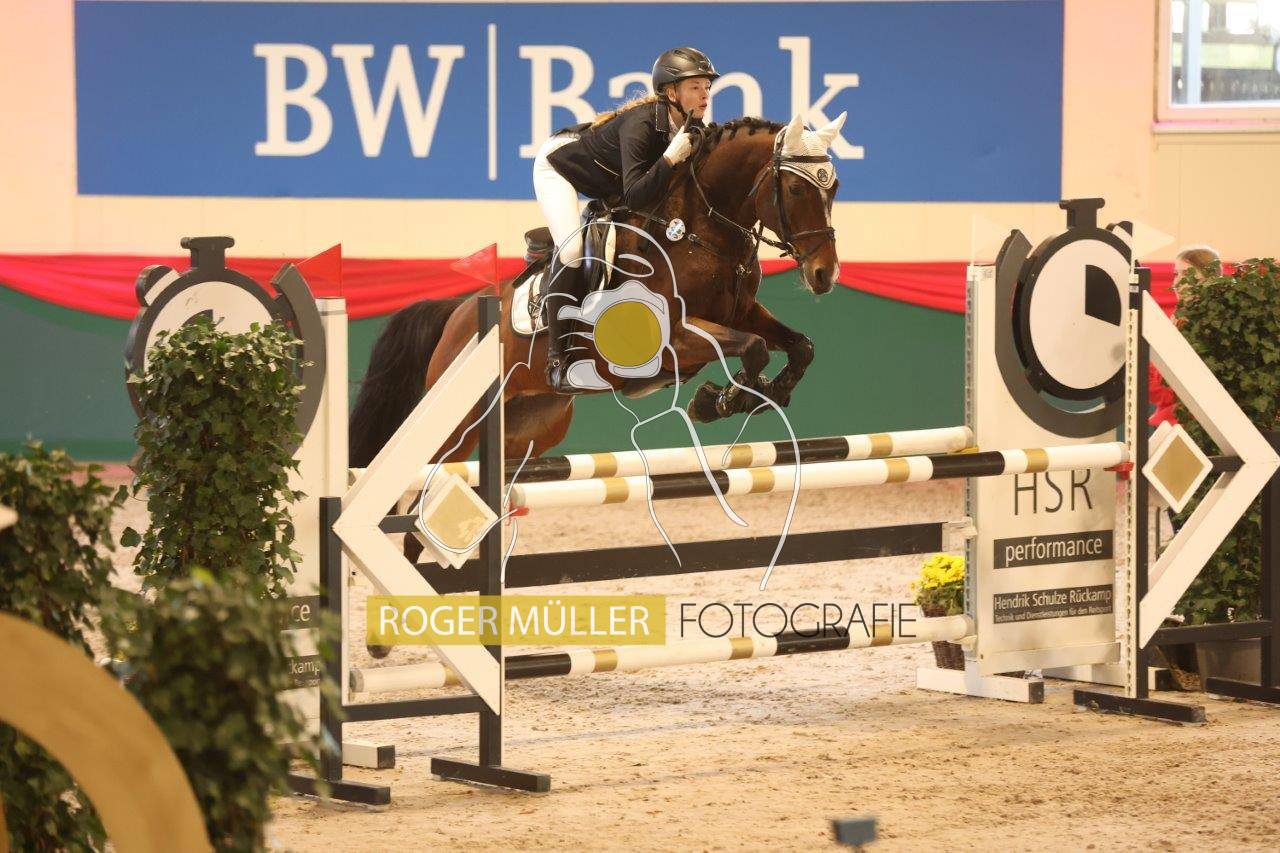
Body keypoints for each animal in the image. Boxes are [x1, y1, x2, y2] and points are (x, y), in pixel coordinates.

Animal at [349, 113, 845, 470]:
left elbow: (798, 345)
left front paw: (763, 394)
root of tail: (458, 312)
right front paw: (721, 399)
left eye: (835, 187)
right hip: (457, 426)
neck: (695, 234)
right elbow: (754, 347)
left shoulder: (742, 312)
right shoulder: (671, 338)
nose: (825, 274)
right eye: (796, 187)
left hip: (530, 426)